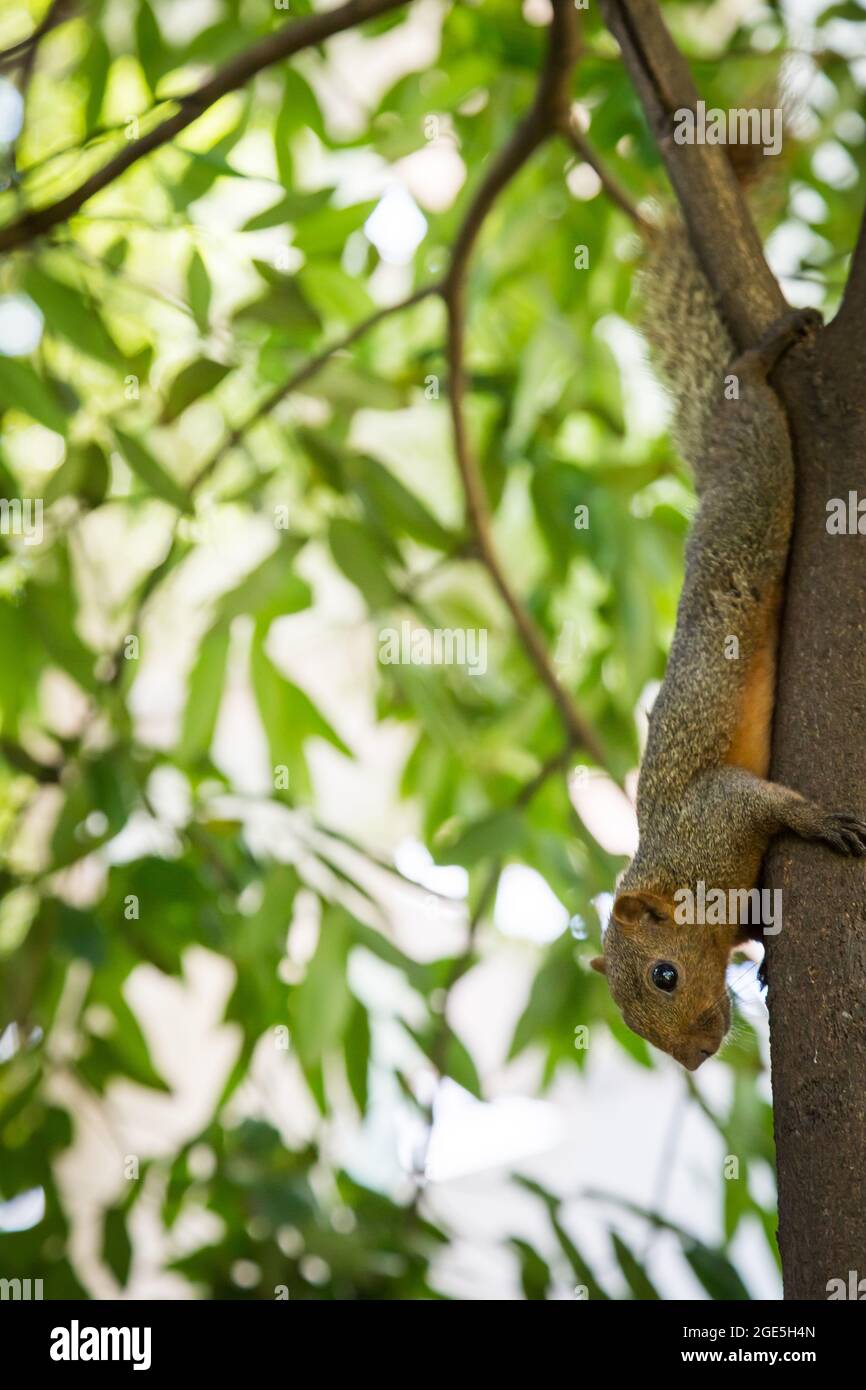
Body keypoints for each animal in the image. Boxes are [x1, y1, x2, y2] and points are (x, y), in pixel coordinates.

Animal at [590, 219, 866, 1071]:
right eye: (630, 1023)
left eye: (666, 974)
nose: (697, 1056)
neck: (679, 871)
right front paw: (768, 963)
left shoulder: (715, 811)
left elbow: (766, 799)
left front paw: (821, 824)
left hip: (754, 491)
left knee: (748, 411)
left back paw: (761, 356)